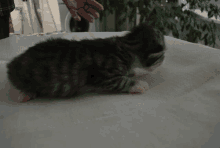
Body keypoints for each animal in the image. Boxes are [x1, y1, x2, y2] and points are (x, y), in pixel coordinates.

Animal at [6, 22, 165, 100]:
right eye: (162, 57)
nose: (163, 61)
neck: (126, 45)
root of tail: (13, 63)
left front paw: (134, 73)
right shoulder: (104, 74)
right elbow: (121, 81)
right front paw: (138, 84)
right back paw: (26, 94)